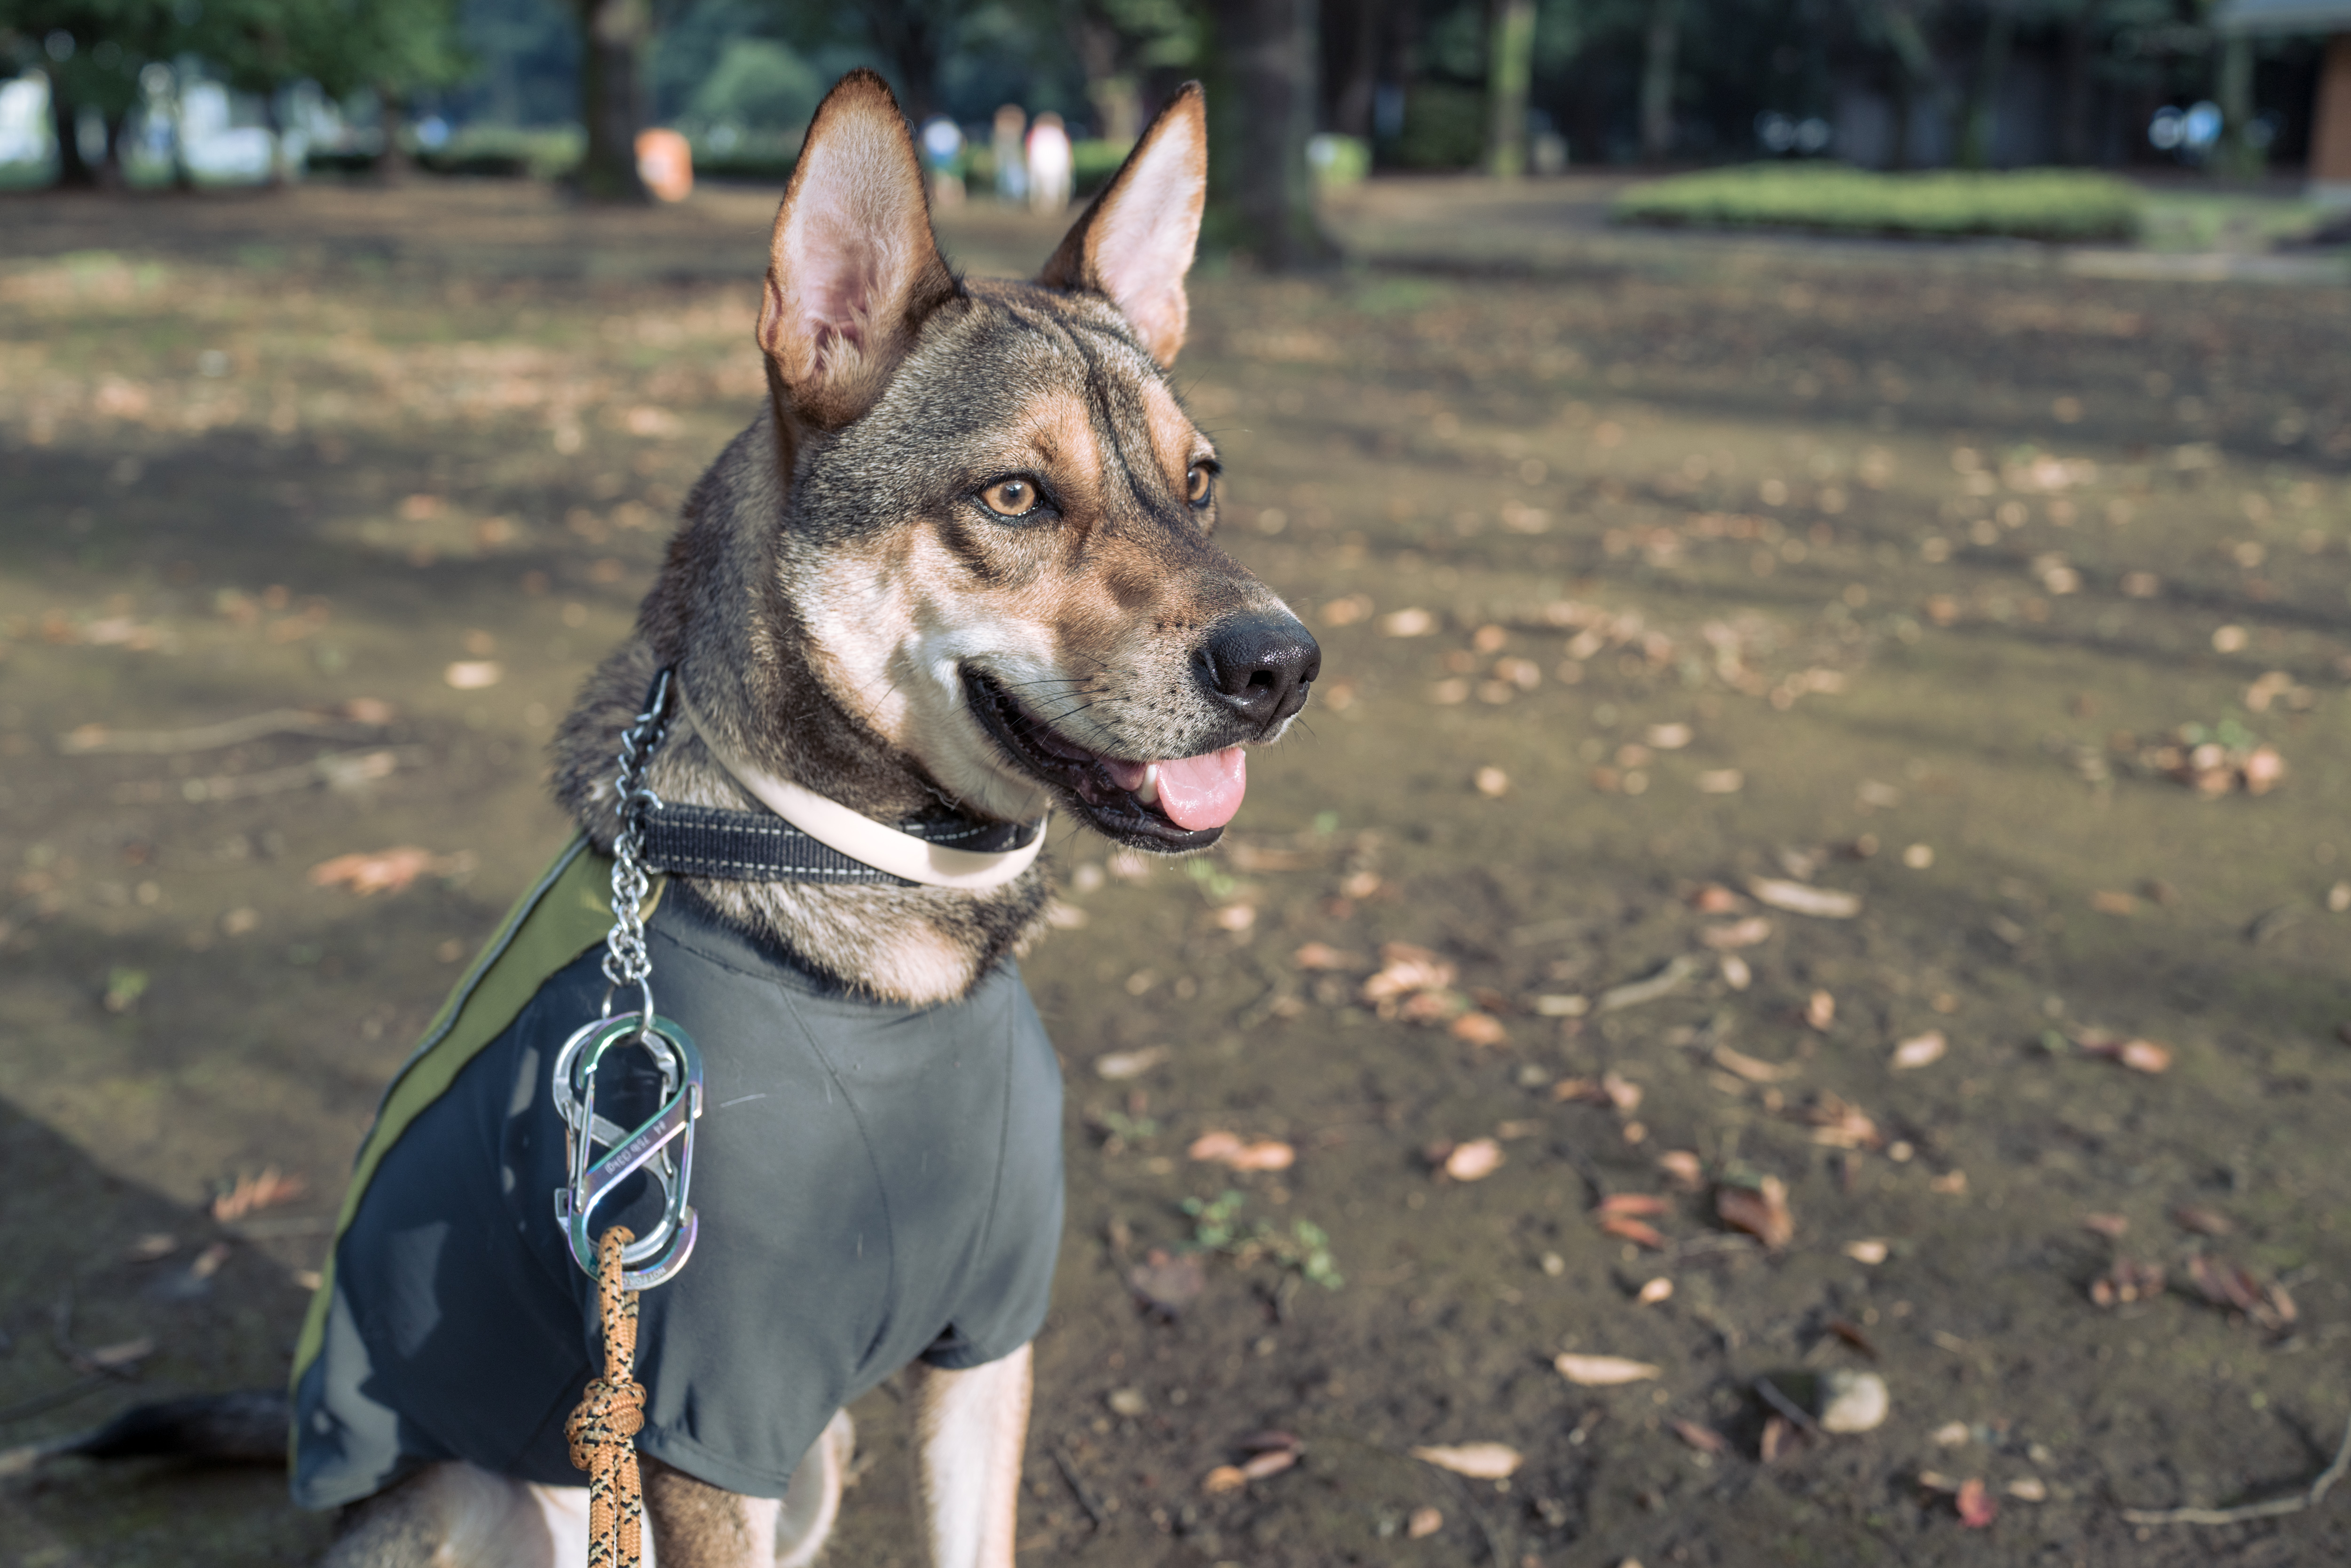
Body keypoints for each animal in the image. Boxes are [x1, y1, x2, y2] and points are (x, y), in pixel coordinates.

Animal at [288, 70, 1319, 1568]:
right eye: (1016, 495)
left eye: (1198, 480)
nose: (1285, 664)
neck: (897, 937)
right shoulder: (706, 1413)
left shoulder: (981, 1349)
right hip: (472, 1500)